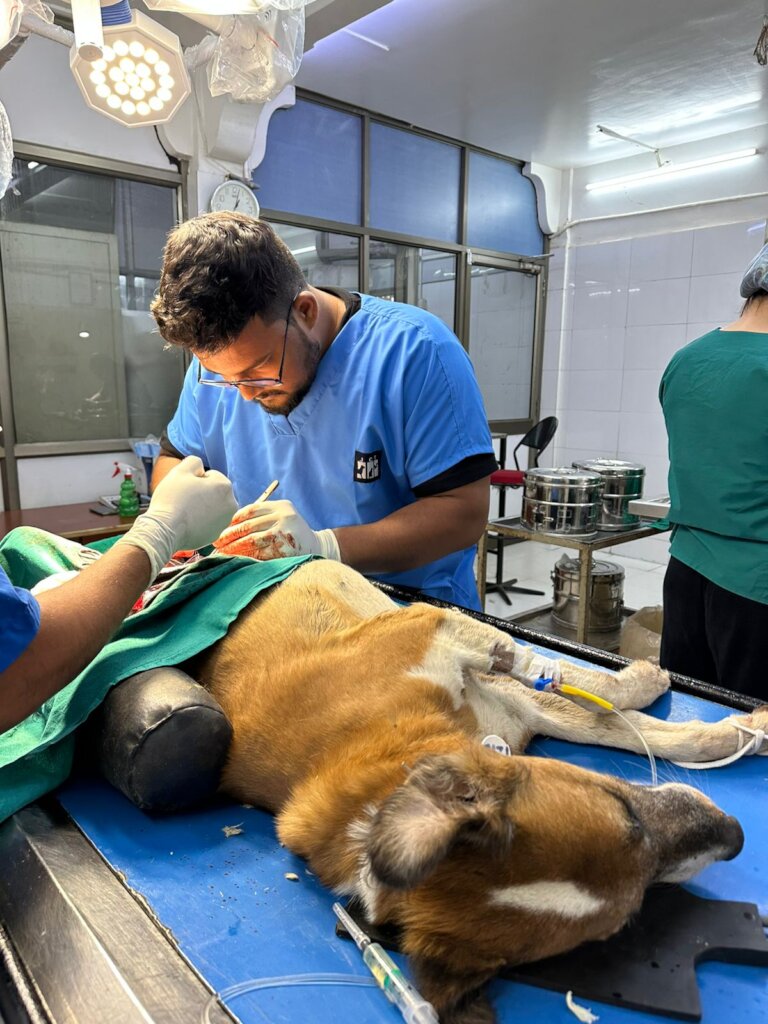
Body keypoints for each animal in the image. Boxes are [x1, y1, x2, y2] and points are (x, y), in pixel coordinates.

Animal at [195, 559, 764, 1024]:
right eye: (627, 917)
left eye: (624, 806)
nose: (735, 834)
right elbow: (597, 712)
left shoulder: (439, 631)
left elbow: (583, 696)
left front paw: (715, 718)